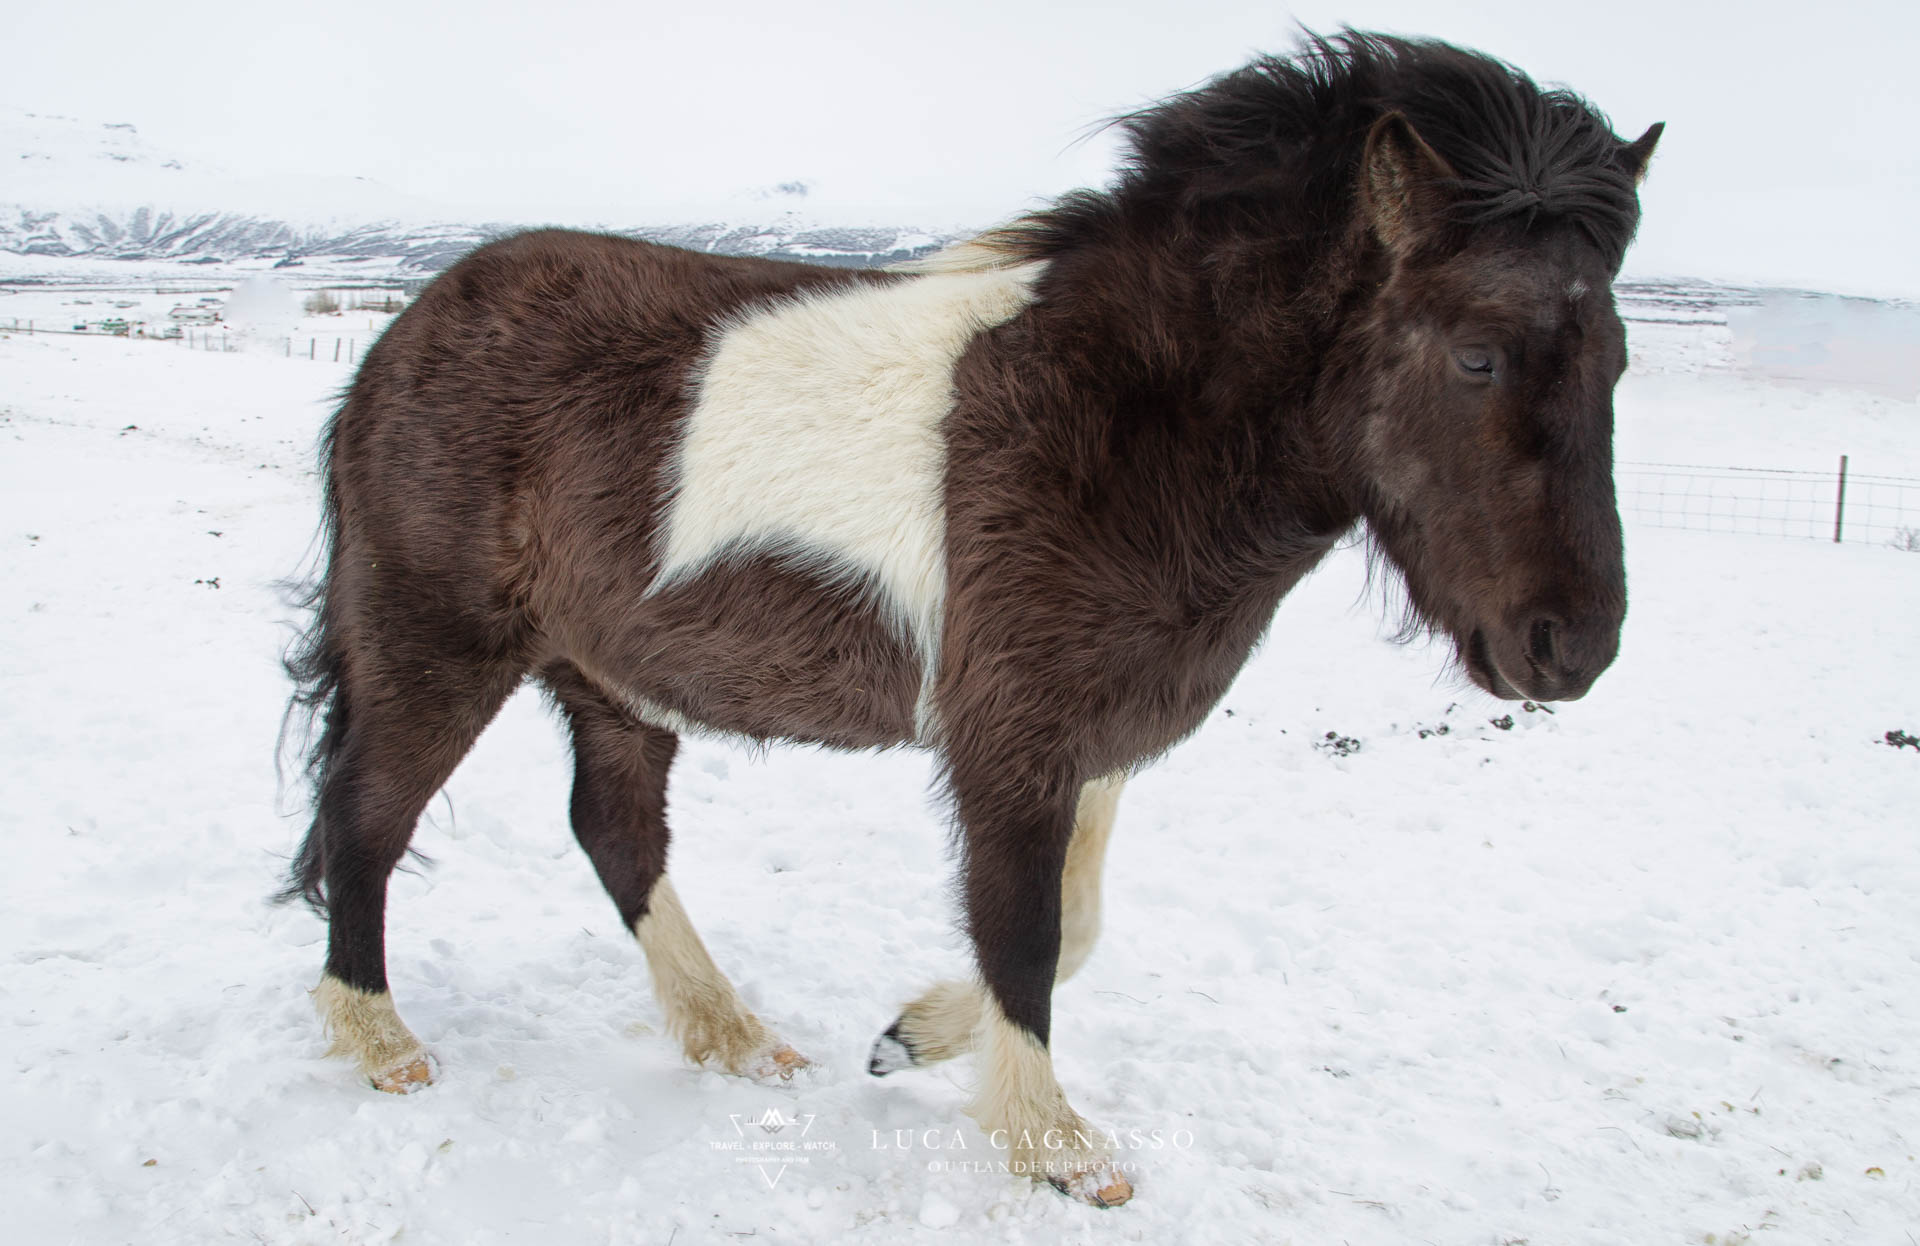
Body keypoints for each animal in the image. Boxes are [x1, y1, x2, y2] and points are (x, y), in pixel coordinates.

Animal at [278, 30, 1661, 1207]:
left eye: (1619, 361)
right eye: (1476, 354)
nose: (1573, 648)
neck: (1123, 416)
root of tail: (405, 333)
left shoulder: (1091, 738)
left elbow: (1074, 923)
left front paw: (906, 1040)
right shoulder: (1010, 742)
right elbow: (1027, 929)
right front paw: (1055, 1145)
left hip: (613, 676)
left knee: (612, 831)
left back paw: (733, 1035)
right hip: (436, 644)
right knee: (366, 814)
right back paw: (382, 1039)